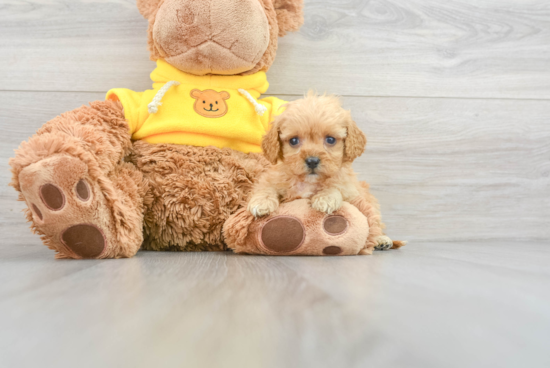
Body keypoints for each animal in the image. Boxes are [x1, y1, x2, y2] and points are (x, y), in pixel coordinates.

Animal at [248, 92, 404, 252]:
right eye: (293, 141)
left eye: (330, 139)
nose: (312, 161)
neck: (308, 182)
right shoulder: (272, 178)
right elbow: (266, 188)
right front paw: (261, 203)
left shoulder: (349, 189)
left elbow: (336, 186)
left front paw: (325, 198)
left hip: (370, 203)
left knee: (374, 224)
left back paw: (381, 240)